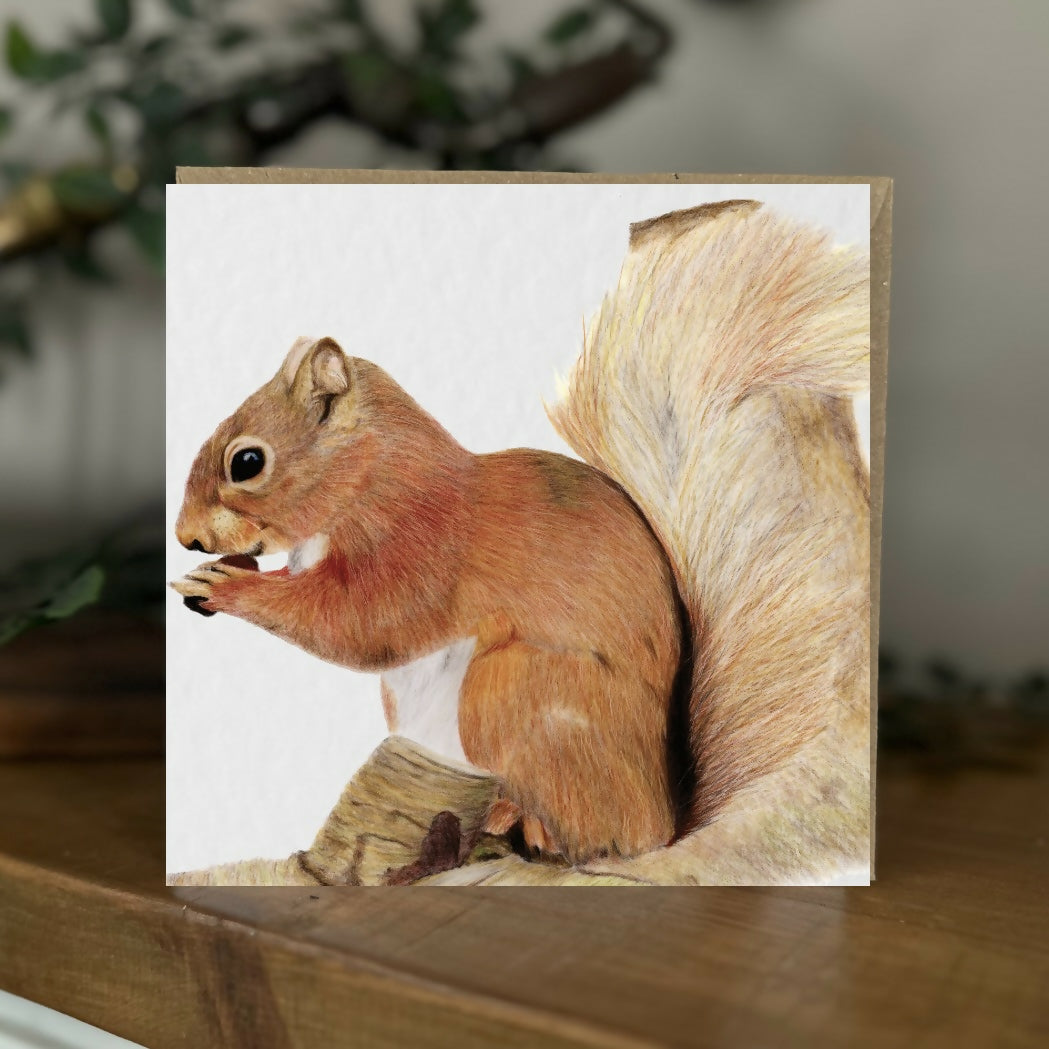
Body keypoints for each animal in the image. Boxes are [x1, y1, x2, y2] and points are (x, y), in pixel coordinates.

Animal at [172, 200, 872, 881]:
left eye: (247, 462)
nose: (185, 538)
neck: (372, 472)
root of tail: (667, 818)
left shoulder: (421, 544)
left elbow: (363, 622)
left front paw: (230, 588)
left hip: (517, 689)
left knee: (596, 833)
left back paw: (533, 830)